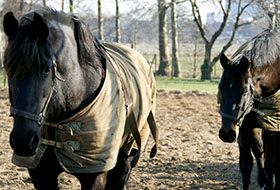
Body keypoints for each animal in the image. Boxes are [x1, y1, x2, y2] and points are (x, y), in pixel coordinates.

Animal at [2, 8, 158, 189]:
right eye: (8, 68)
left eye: (47, 69)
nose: (23, 141)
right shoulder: (40, 174)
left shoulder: (94, 174)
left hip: (127, 154)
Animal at [218, 29, 280, 189]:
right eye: (220, 88)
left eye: (245, 90)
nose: (227, 133)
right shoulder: (245, 126)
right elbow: (246, 164)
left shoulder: (274, 127)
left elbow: (273, 161)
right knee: (259, 150)